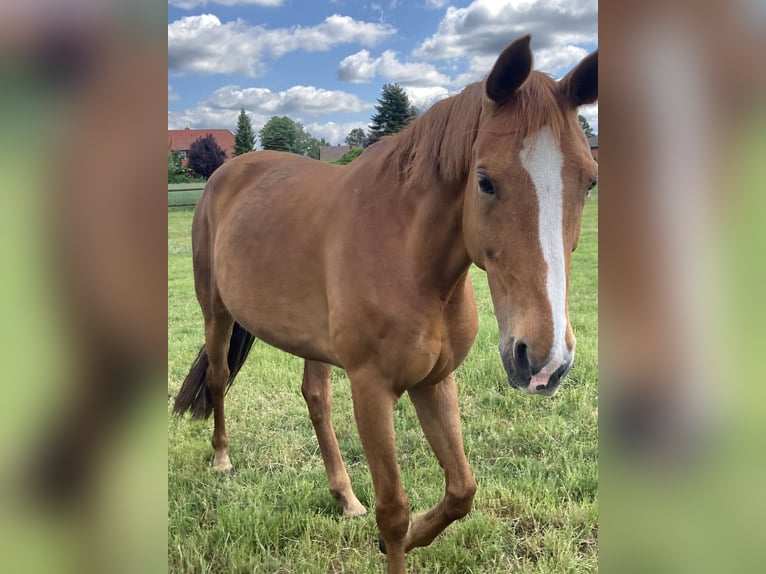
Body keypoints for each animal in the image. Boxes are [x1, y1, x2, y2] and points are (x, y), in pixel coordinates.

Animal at [176, 37, 600, 574]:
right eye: (485, 180)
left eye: (589, 181)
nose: (544, 361)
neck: (410, 259)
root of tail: (226, 172)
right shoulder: (373, 390)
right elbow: (394, 511)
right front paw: (394, 536)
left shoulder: (434, 382)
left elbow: (462, 490)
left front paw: (410, 531)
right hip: (216, 313)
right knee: (218, 377)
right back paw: (222, 459)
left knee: (316, 399)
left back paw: (345, 497)